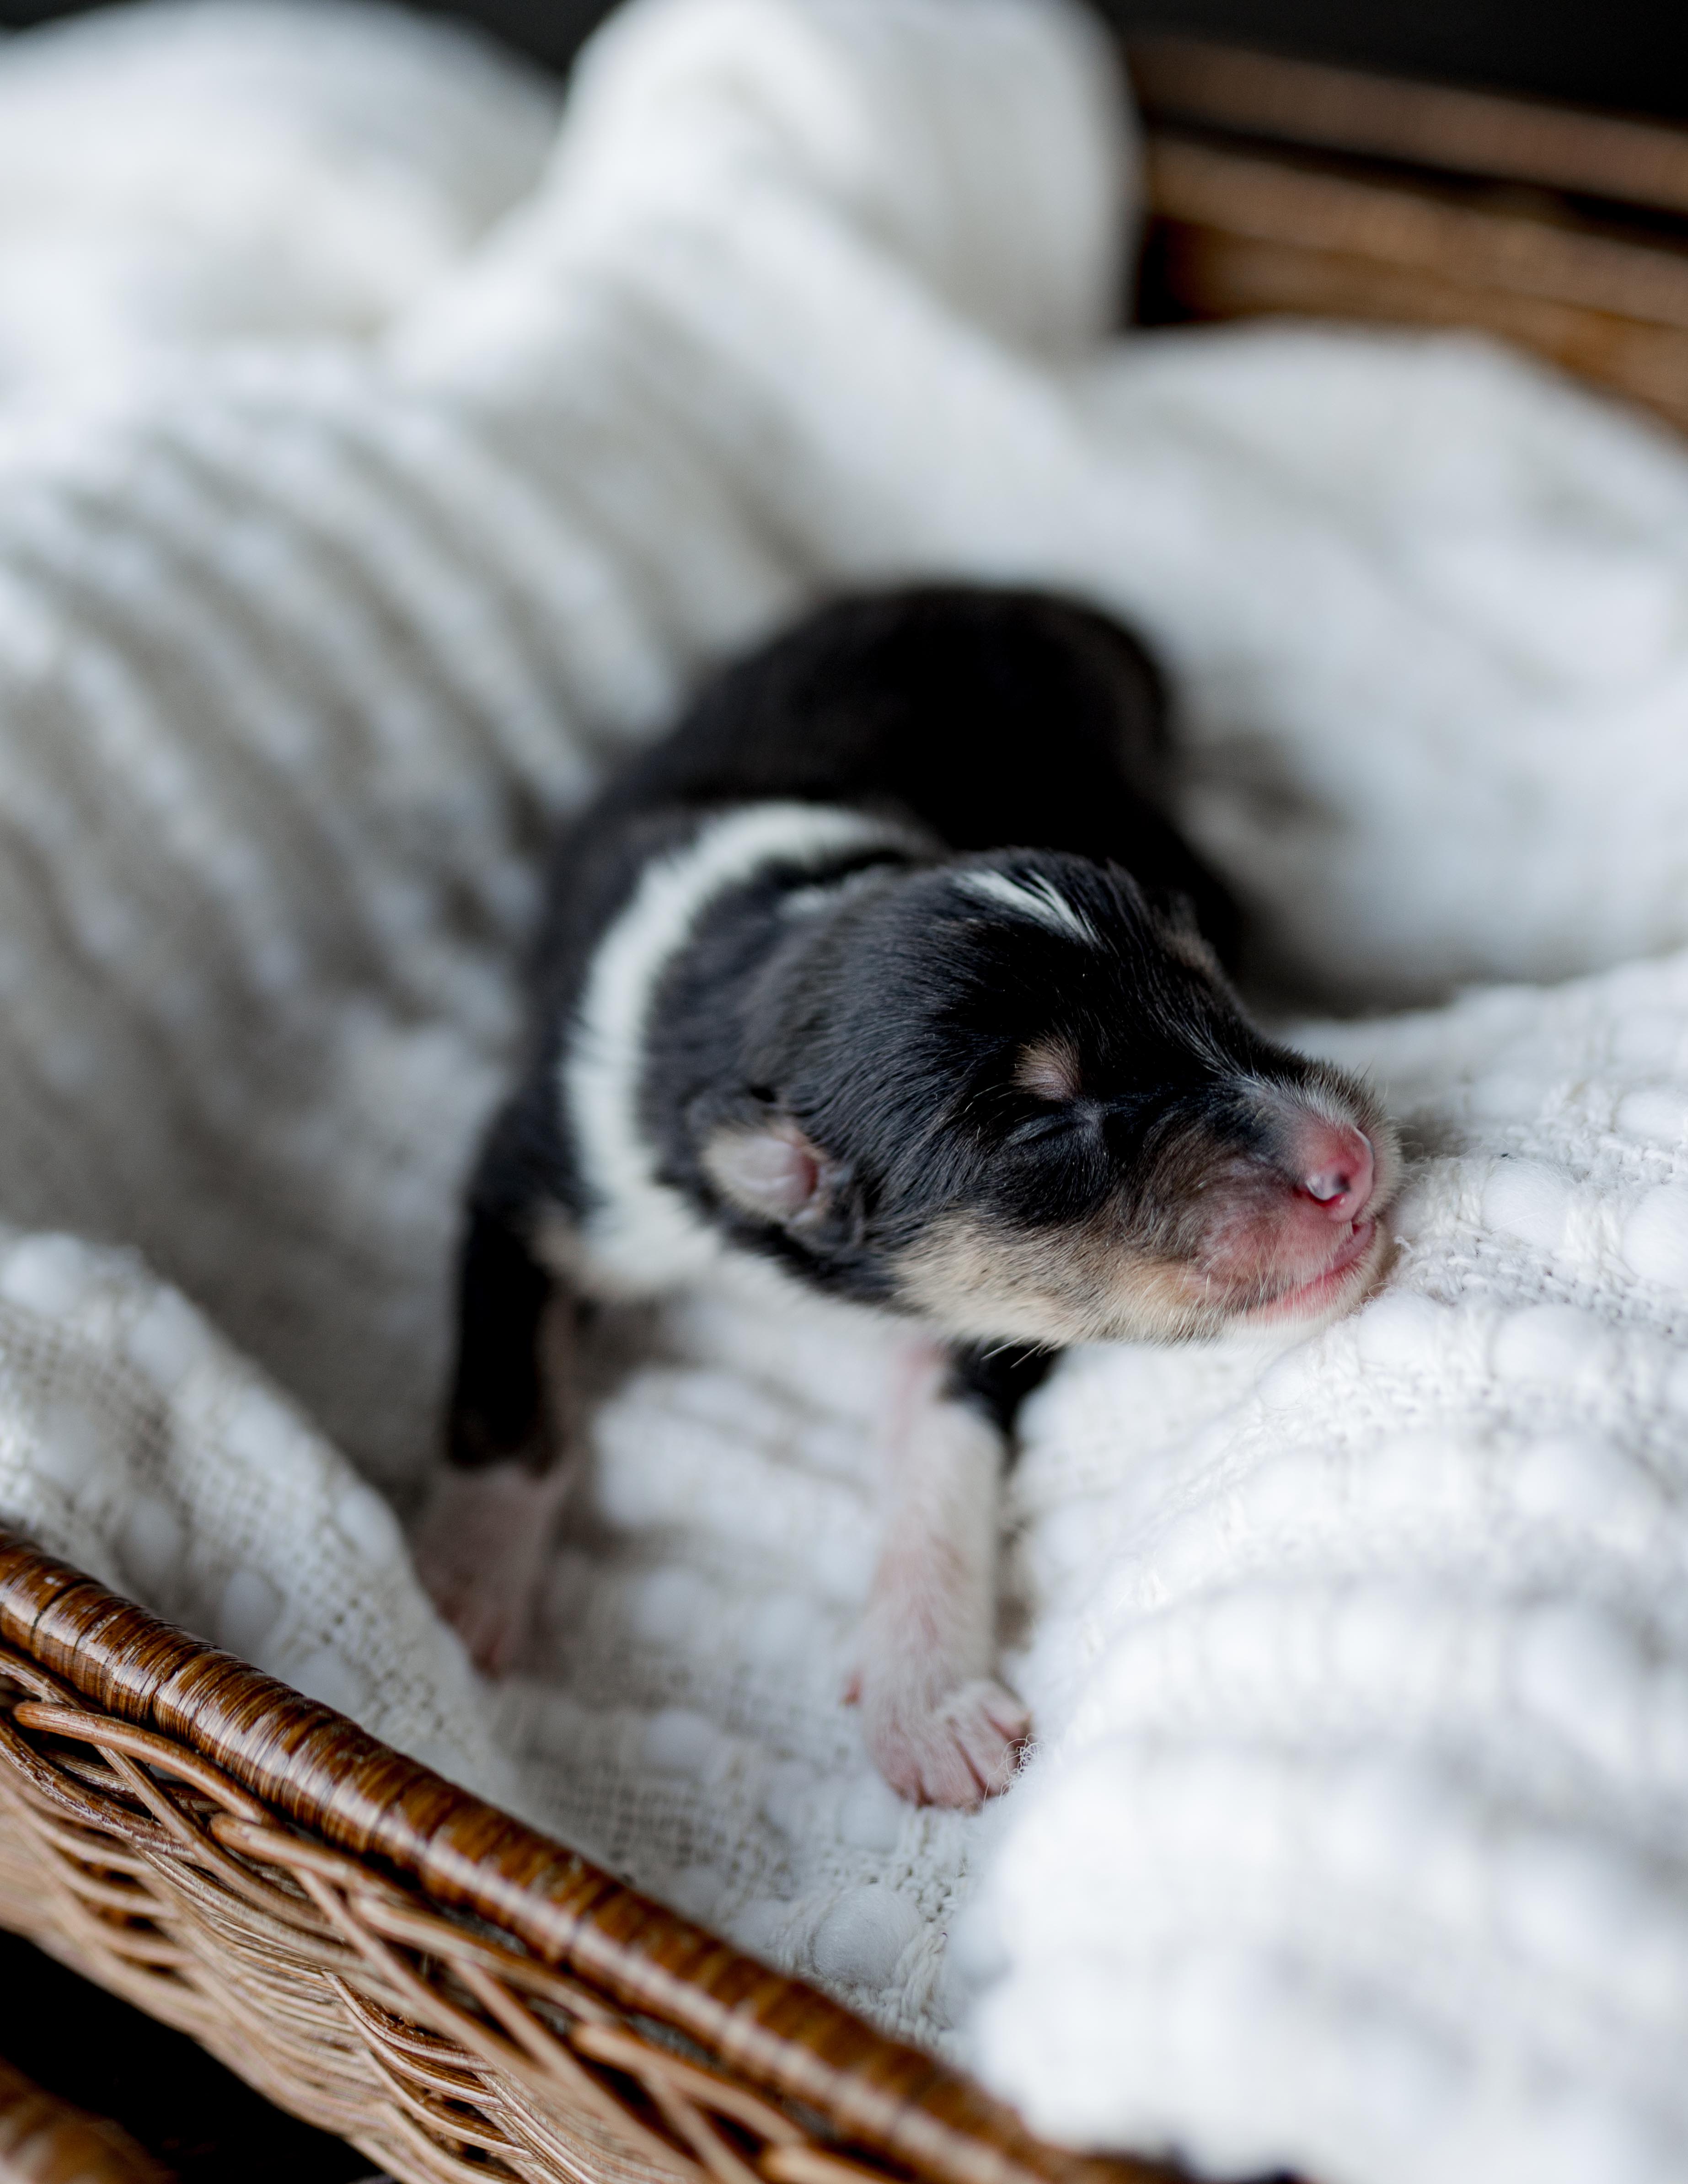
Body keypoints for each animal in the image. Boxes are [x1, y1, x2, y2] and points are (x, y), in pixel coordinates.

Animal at [415, 584, 1399, 1806]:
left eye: (1212, 995)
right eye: (1044, 1122)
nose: (1347, 1160)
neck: (767, 952)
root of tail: (1029, 597)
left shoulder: (984, 1310)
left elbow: (942, 1450)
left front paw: (924, 1703)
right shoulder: (535, 1176)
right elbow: (504, 1400)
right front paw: (457, 1592)